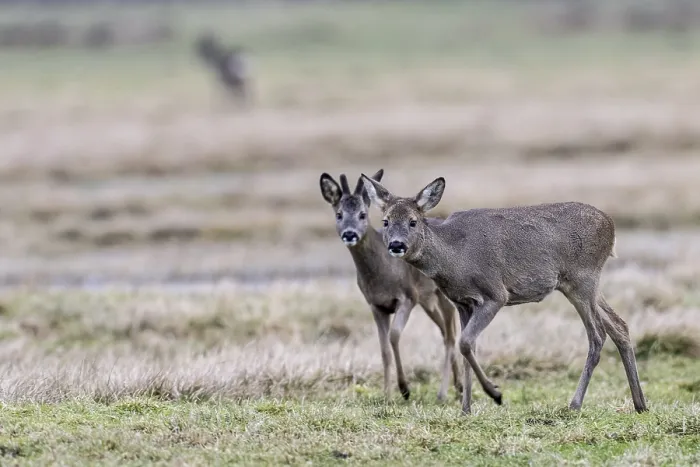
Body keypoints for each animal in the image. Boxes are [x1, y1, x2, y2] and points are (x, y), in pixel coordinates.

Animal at [320, 169, 462, 402]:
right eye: (338, 214)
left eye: (362, 214)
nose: (349, 234)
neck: (382, 276)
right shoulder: (376, 305)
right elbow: (384, 349)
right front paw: (386, 394)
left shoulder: (407, 297)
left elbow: (394, 336)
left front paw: (404, 388)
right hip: (427, 300)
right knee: (445, 331)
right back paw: (458, 387)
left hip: (441, 295)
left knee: (450, 335)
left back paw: (443, 393)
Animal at [360, 174, 648, 415]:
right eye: (385, 221)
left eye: (413, 221)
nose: (396, 245)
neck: (454, 257)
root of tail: (611, 226)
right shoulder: (462, 303)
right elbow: (466, 346)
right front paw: (466, 408)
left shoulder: (495, 294)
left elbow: (465, 342)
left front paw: (494, 394)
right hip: (586, 284)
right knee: (619, 326)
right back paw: (640, 404)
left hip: (581, 279)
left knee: (597, 335)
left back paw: (575, 404)